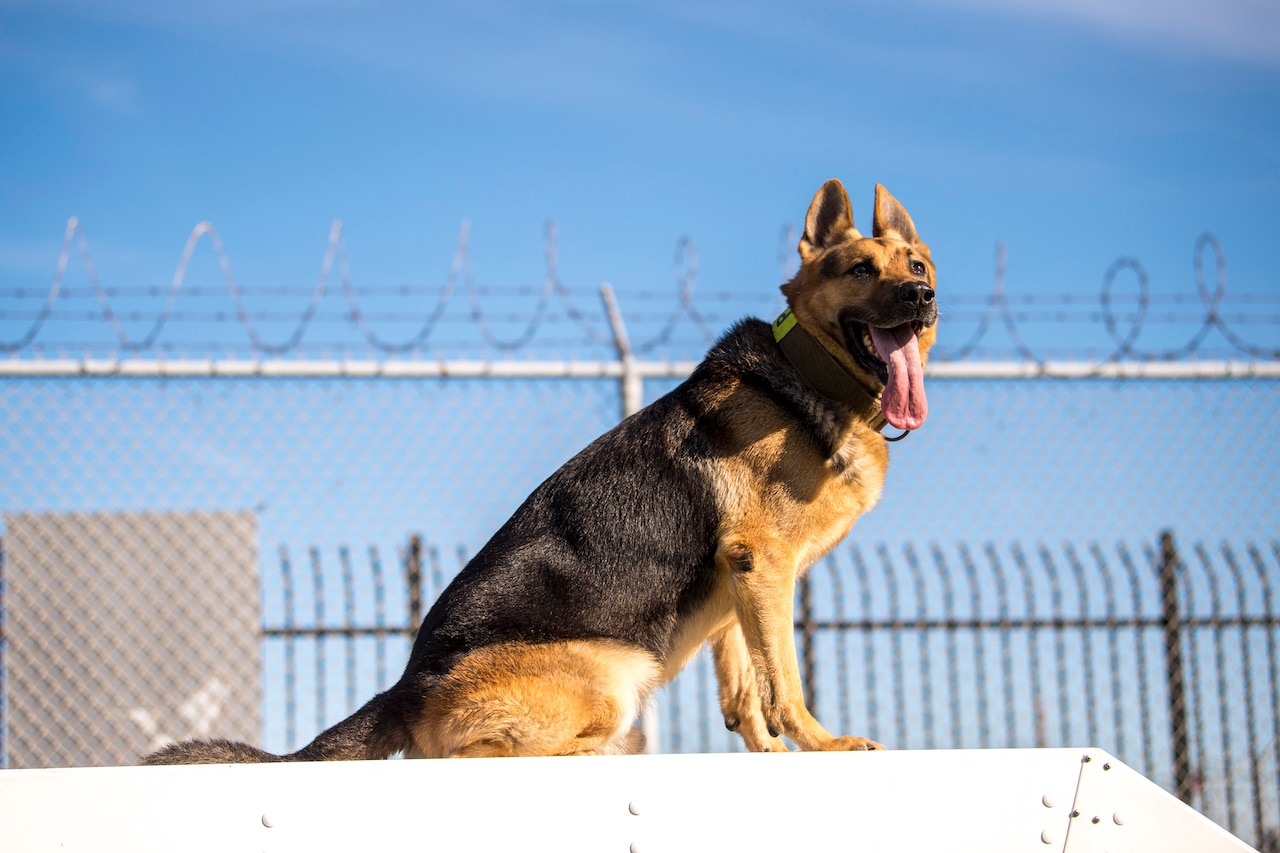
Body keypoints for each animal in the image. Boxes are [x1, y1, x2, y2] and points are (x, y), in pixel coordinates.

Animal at [145, 175, 936, 758]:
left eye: (918, 266)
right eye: (859, 270)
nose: (921, 295)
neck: (810, 375)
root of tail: (405, 688)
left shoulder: (742, 582)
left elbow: (747, 689)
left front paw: (772, 755)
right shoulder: (764, 564)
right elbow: (784, 680)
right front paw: (825, 744)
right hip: (616, 671)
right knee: (486, 756)